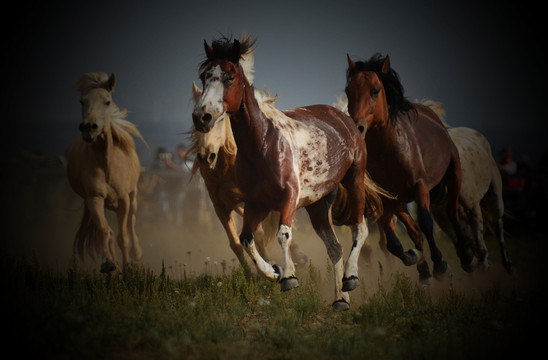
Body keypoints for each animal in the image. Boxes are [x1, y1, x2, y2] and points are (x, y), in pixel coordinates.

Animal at [67, 71, 146, 272]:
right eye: (82, 101)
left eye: (107, 101)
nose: (89, 128)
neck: (107, 165)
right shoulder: (94, 198)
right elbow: (105, 231)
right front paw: (109, 263)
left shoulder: (124, 199)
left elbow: (123, 237)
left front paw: (128, 269)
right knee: (109, 230)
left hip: (133, 195)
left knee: (131, 221)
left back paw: (136, 253)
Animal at [188, 81, 308, 272]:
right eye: (195, 119)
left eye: (220, 118)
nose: (206, 157)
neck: (227, 168)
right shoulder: (220, 206)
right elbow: (236, 243)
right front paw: (251, 273)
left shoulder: (254, 202)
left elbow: (258, 235)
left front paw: (270, 266)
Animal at [346, 53, 476, 280]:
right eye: (348, 90)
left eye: (375, 90)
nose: (357, 127)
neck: (390, 151)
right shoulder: (386, 199)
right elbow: (393, 243)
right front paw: (413, 256)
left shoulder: (420, 186)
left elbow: (425, 222)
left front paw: (440, 263)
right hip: (400, 201)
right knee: (413, 231)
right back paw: (423, 270)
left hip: (453, 174)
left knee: (451, 212)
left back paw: (466, 258)